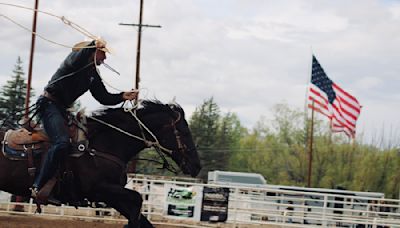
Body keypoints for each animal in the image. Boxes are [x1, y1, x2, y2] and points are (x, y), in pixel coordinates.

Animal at [0, 100, 200, 227]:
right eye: (184, 131)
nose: (197, 166)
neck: (102, 145)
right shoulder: (100, 189)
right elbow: (137, 200)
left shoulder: (112, 195)